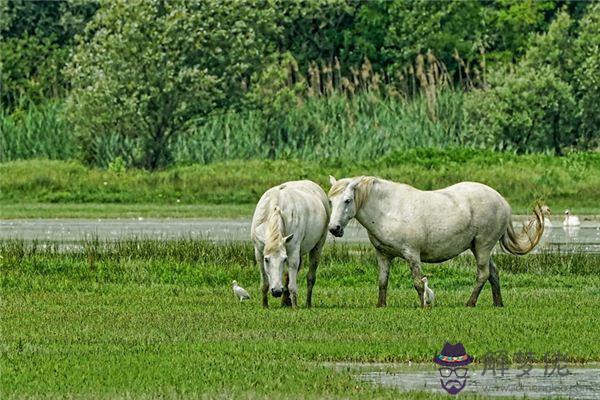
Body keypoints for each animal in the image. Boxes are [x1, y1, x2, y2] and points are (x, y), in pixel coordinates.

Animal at [251, 181, 330, 310]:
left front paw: (295, 306)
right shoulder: (259, 251)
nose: (277, 291)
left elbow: (293, 283)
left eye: (284, 259)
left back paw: (308, 303)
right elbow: (265, 282)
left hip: (318, 247)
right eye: (266, 260)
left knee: (310, 277)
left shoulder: (292, 252)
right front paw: (265, 305)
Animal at [326, 177, 548, 308]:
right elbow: (382, 282)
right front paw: (381, 306)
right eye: (330, 201)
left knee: (483, 274)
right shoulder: (383, 255)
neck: (388, 210)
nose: (334, 228)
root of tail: (503, 201)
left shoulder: (412, 254)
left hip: (483, 246)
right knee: (493, 273)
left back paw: (470, 303)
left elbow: (418, 282)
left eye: (347, 200)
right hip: (477, 248)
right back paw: (498, 304)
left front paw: (424, 305)